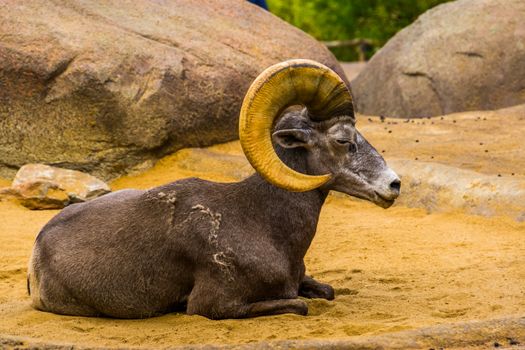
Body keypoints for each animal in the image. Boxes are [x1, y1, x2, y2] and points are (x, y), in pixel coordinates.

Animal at [26, 58, 400, 318]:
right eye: (343, 140)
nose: (394, 184)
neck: (265, 224)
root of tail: (38, 251)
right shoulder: (217, 305)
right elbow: (299, 305)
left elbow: (326, 291)